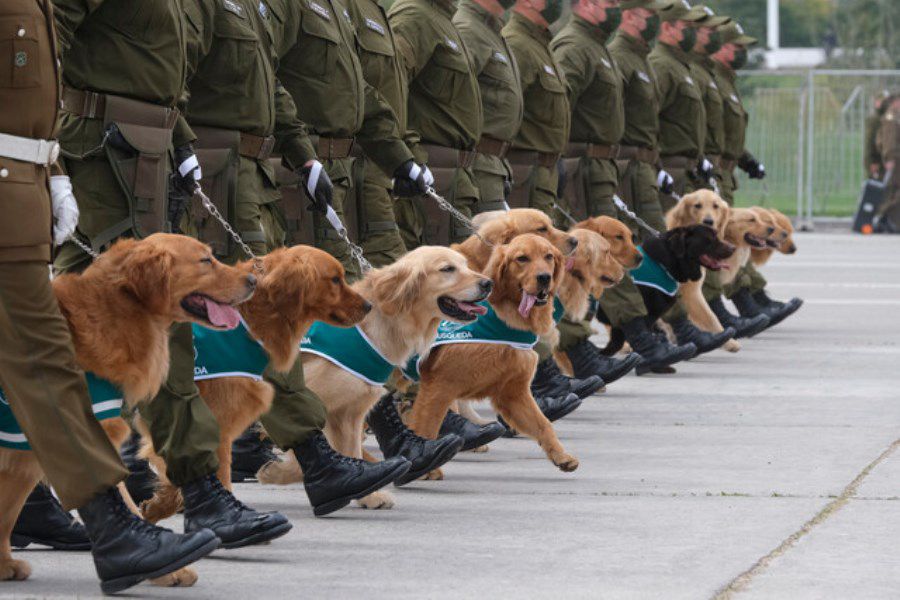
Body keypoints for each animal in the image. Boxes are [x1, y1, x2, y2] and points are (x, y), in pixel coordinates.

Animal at [0, 234, 253, 584]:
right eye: (206, 260)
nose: (253, 280)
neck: (116, 314)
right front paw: (163, 564)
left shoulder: (29, 450)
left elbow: (7, 510)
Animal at [134, 246, 372, 524]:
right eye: (335, 279)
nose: (369, 306)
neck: (249, 319)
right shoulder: (213, 423)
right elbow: (218, 476)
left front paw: (158, 506)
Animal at [253, 246, 492, 508]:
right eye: (447, 269)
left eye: (466, 265)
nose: (488, 283)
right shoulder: (308, 397)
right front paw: (276, 473)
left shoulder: (349, 412)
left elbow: (350, 451)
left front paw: (367, 492)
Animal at [406, 233, 580, 474]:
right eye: (522, 258)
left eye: (548, 257)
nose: (544, 278)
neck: (504, 322)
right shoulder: (438, 385)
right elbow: (426, 427)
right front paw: (427, 467)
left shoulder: (513, 393)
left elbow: (543, 424)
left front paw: (561, 456)